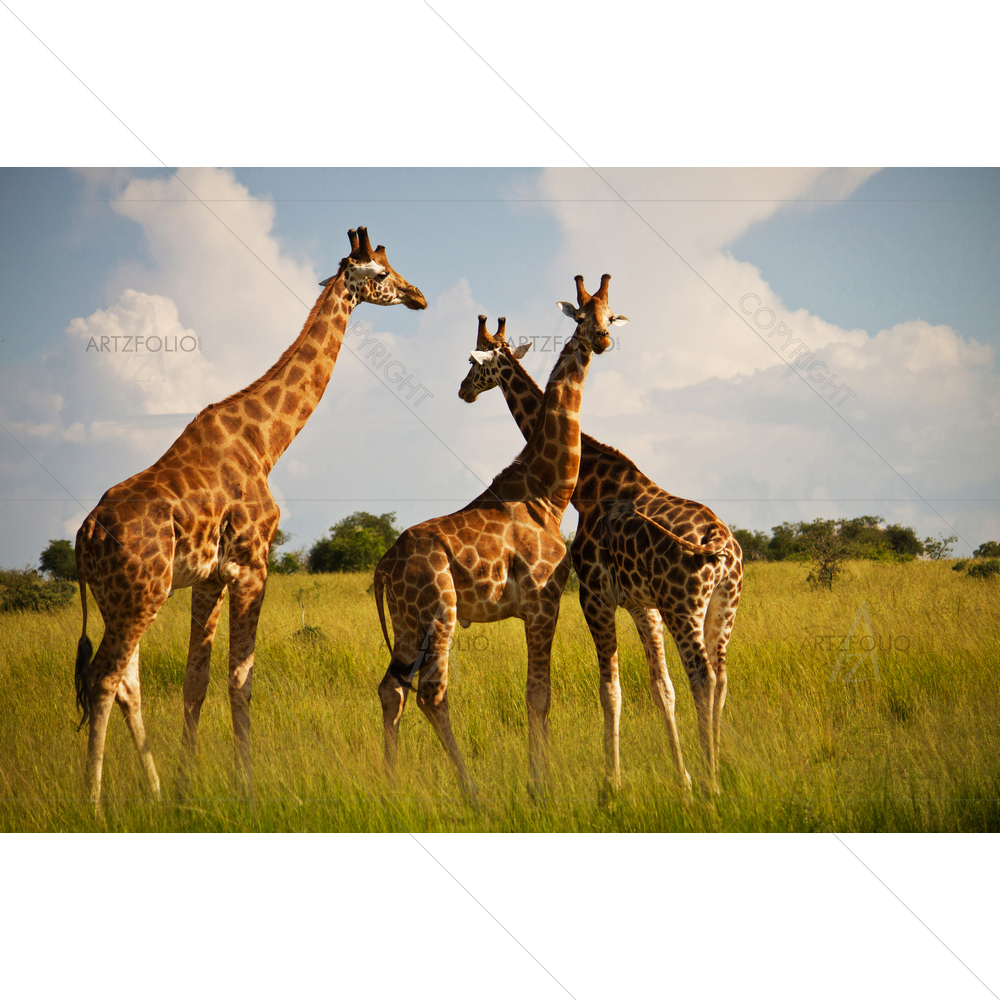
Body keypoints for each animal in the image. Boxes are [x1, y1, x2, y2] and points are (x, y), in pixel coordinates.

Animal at [74, 227, 426, 810]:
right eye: (380, 273)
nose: (418, 296)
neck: (266, 444)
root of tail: (85, 535)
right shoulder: (251, 565)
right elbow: (241, 681)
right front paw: (249, 790)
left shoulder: (209, 577)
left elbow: (195, 683)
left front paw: (186, 789)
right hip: (141, 594)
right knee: (103, 680)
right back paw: (93, 804)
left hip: (119, 599)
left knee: (126, 684)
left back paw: (153, 792)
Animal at [373, 275, 627, 798]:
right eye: (582, 317)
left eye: (610, 317)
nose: (602, 341)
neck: (548, 490)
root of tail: (384, 564)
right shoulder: (544, 601)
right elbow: (539, 694)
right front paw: (540, 782)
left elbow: (537, 694)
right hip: (441, 613)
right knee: (432, 693)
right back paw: (472, 791)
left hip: (408, 623)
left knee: (392, 689)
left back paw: (392, 784)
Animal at [457, 315, 743, 794]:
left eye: (474, 363)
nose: (463, 391)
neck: (589, 483)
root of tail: (719, 541)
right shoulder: (642, 604)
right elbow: (660, 687)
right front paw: (680, 778)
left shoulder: (594, 595)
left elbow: (611, 690)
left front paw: (613, 782)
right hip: (723, 606)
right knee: (720, 678)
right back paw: (714, 769)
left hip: (685, 607)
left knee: (702, 677)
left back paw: (712, 783)